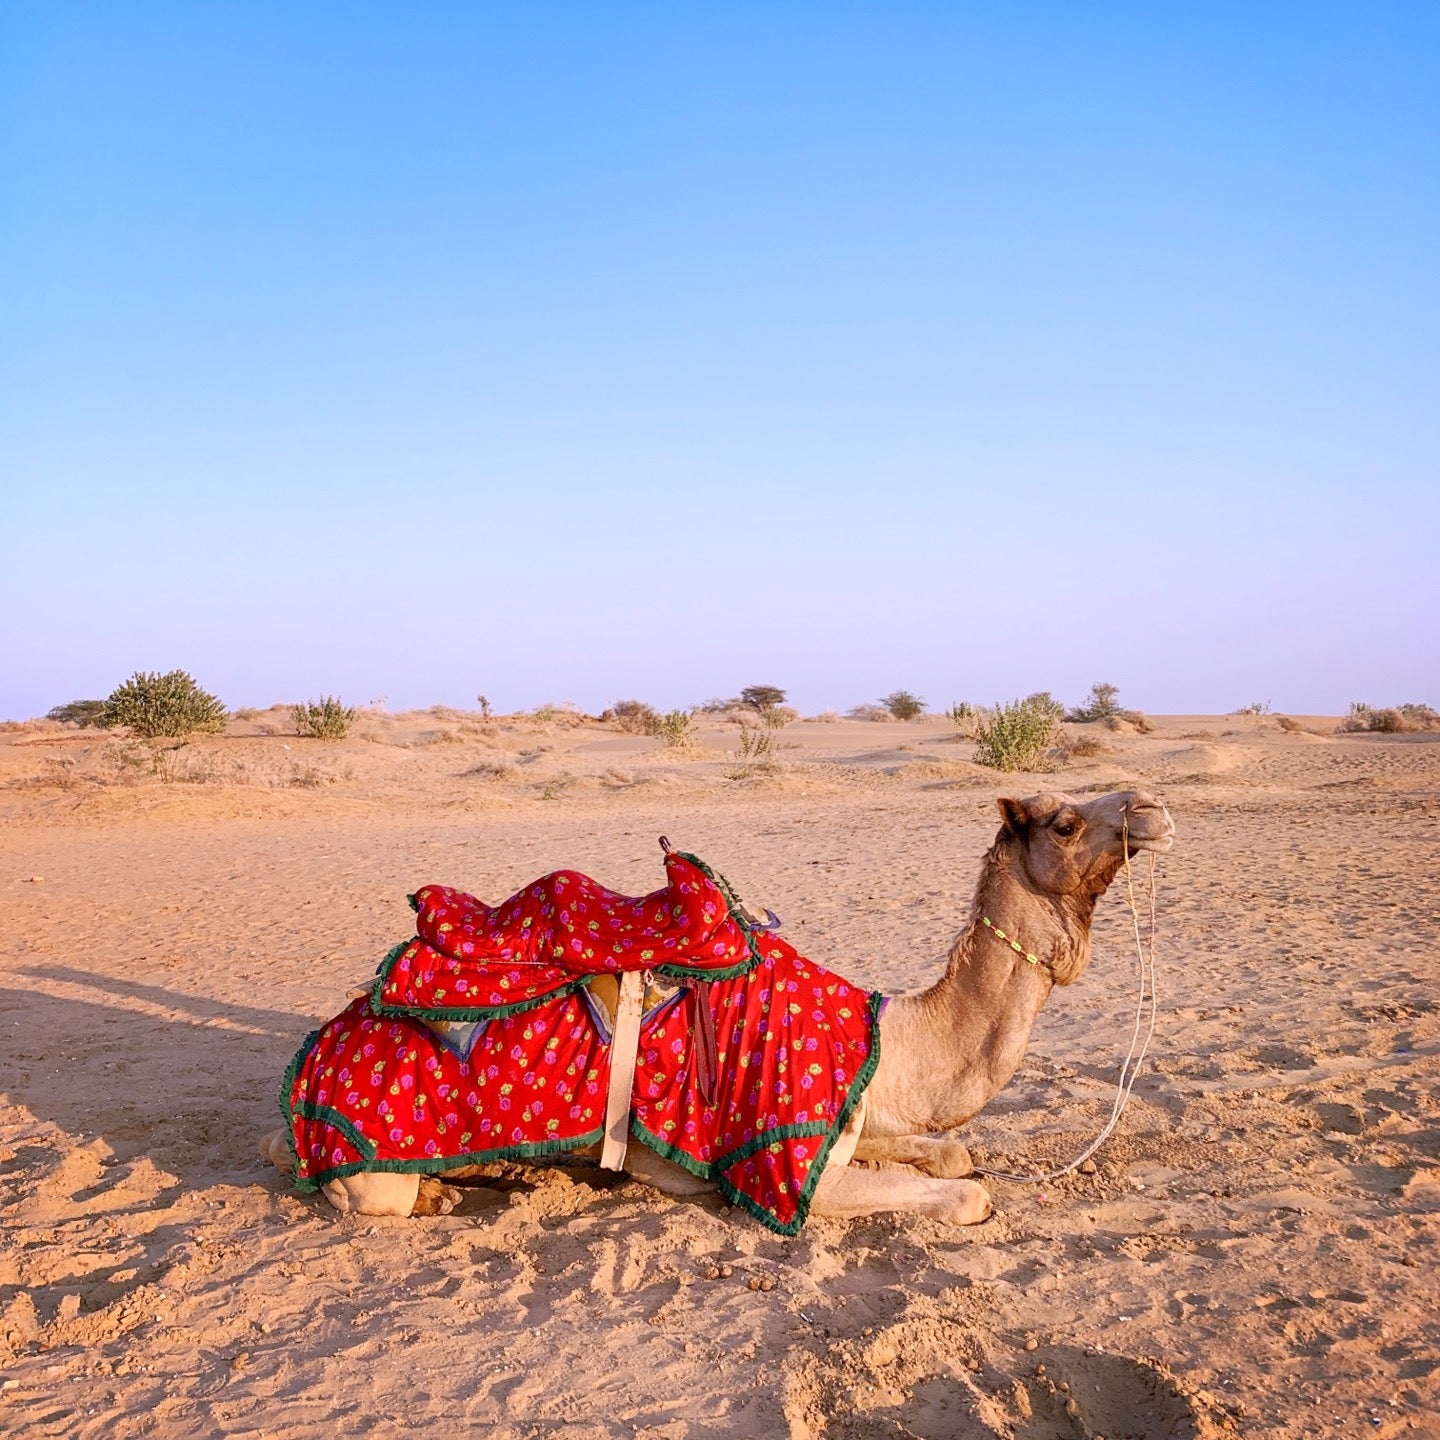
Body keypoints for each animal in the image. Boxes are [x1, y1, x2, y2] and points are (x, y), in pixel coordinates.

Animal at [264, 789, 1175, 1226]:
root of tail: (314, 1053)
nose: (1153, 806)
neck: (892, 1036)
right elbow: (964, 1194)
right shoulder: (786, 1165)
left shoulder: (858, 1106)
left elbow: (948, 1153)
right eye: (1064, 822)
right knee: (368, 1195)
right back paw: (448, 1194)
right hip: (371, 1153)